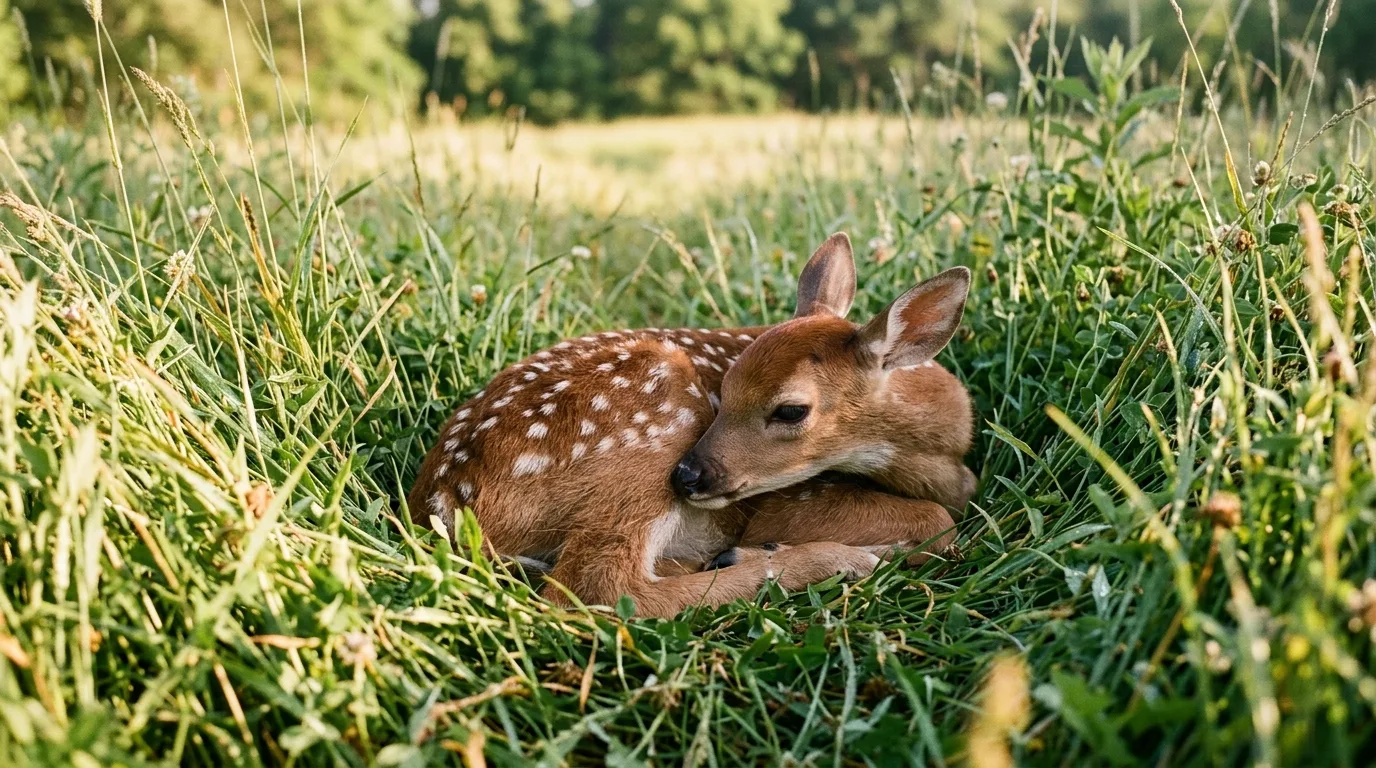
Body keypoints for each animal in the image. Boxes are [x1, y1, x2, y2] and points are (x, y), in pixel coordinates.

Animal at [407, 232, 976, 618]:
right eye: (725, 388)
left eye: (791, 410)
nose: (688, 477)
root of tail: (442, 501)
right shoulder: (789, 500)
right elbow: (938, 522)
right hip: (653, 428)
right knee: (600, 588)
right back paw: (829, 561)